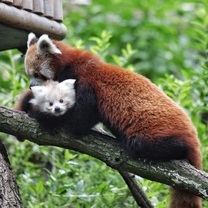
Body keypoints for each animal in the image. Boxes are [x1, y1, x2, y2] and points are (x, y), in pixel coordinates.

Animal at [21, 33, 202, 207]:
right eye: (29, 74)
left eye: (37, 74)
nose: (31, 86)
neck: (71, 64)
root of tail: (192, 134)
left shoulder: (85, 85)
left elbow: (79, 122)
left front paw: (44, 118)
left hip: (153, 132)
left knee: (146, 144)